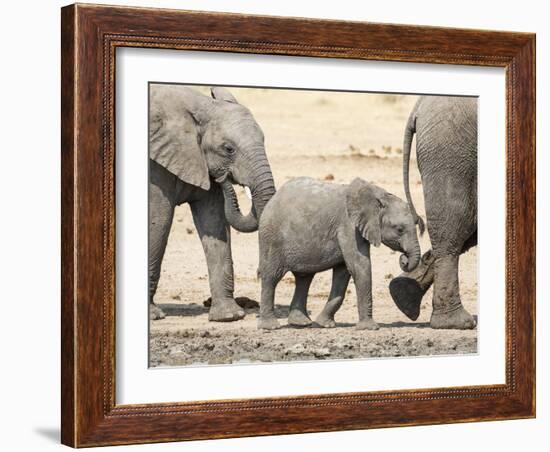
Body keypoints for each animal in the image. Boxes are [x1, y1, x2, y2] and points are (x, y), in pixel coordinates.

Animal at [150, 85, 276, 322]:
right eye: (228, 149)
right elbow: (158, 220)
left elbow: (215, 221)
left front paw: (229, 316)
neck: (201, 106)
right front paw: (153, 315)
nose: (224, 177)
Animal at [258, 178, 422, 330]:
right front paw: (370, 328)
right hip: (271, 237)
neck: (379, 196)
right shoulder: (348, 226)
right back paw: (270, 326)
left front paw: (324, 324)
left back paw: (301, 323)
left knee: (304, 278)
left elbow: (343, 273)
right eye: (399, 229)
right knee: (271, 276)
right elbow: (359, 266)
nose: (404, 259)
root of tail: (273, 199)